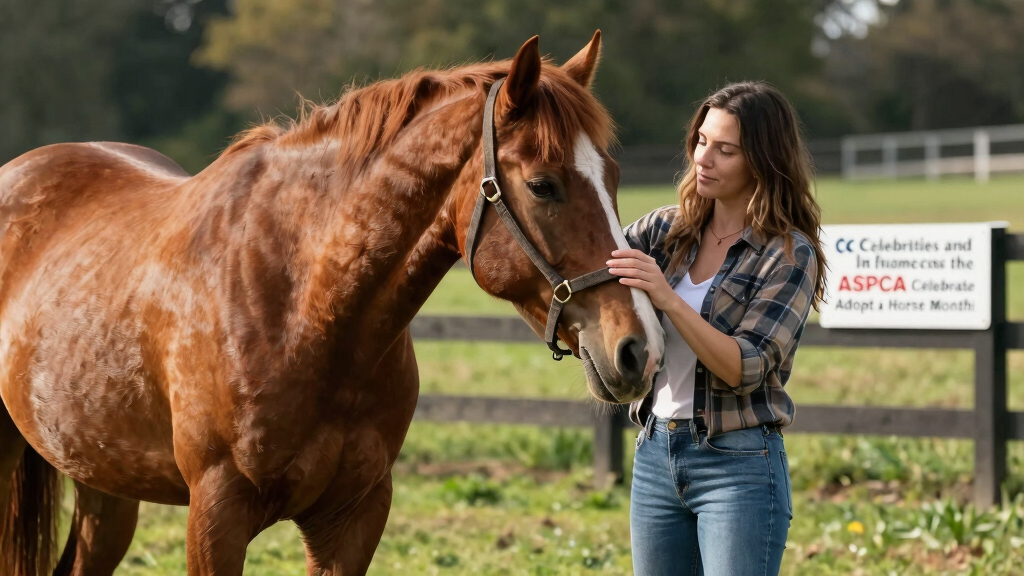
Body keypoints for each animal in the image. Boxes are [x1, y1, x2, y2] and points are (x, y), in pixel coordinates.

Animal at [0, 32, 664, 575]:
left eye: (612, 175)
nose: (640, 350)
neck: (304, 313)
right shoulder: (216, 515)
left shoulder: (353, 518)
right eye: (543, 185)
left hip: (105, 485)